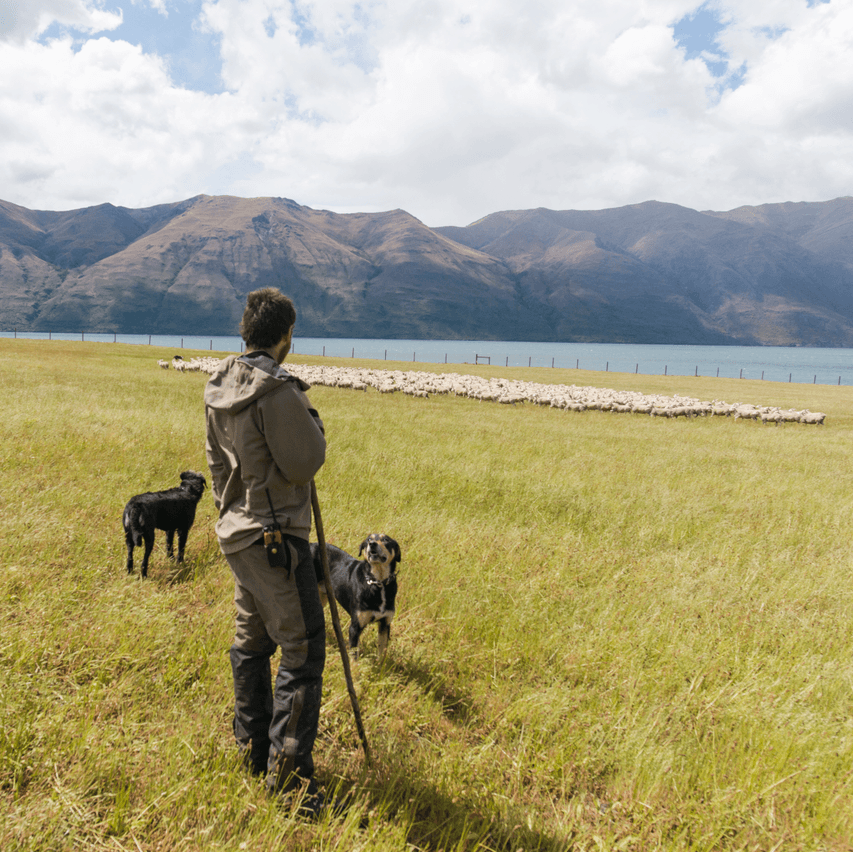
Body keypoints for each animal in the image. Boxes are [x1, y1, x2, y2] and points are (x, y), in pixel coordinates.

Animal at [312, 532, 402, 660]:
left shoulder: (385, 624)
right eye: (369, 539)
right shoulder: (355, 627)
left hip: (322, 596)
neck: (378, 582)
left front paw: (380, 665)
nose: (372, 544)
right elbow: (354, 655)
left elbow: (381, 654)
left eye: (385, 539)